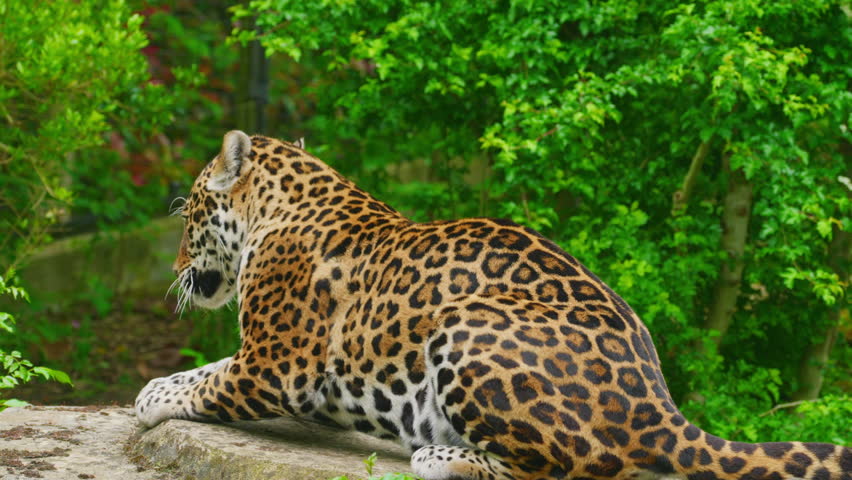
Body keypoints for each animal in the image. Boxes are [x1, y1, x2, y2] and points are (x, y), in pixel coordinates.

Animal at [135, 130, 851, 480]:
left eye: (189, 213)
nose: (171, 270)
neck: (279, 208)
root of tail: (660, 406)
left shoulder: (275, 366)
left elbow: (206, 382)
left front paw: (152, 399)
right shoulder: (262, 359)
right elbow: (204, 369)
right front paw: (154, 387)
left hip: (466, 326)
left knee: (573, 471)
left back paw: (441, 459)